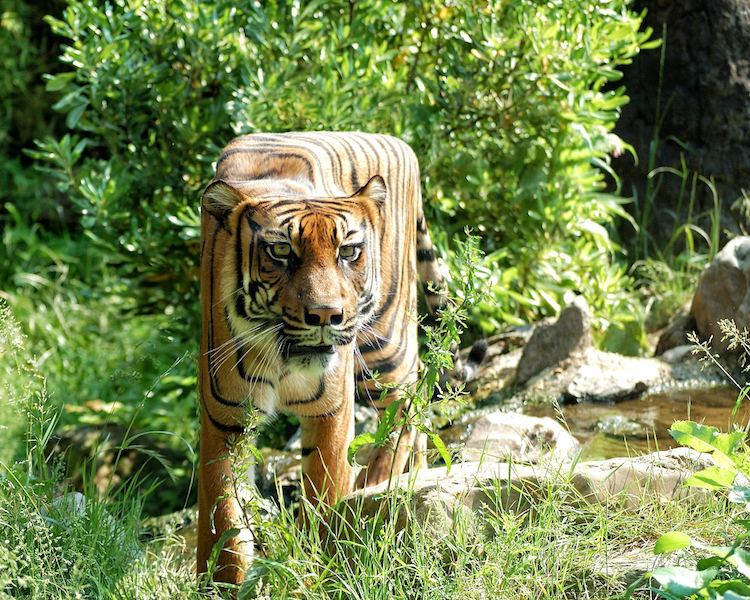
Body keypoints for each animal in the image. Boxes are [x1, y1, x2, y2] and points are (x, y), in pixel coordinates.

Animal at [197, 131, 485, 586]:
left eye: (348, 252)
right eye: (281, 251)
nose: (325, 314)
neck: (282, 358)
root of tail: (401, 143)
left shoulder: (331, 410)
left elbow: (323, 494)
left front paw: (313, 571)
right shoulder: (224, 419)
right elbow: (222, 517)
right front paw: (221, 584)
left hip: (385, 345)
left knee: (406, 407)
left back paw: (378, 486)